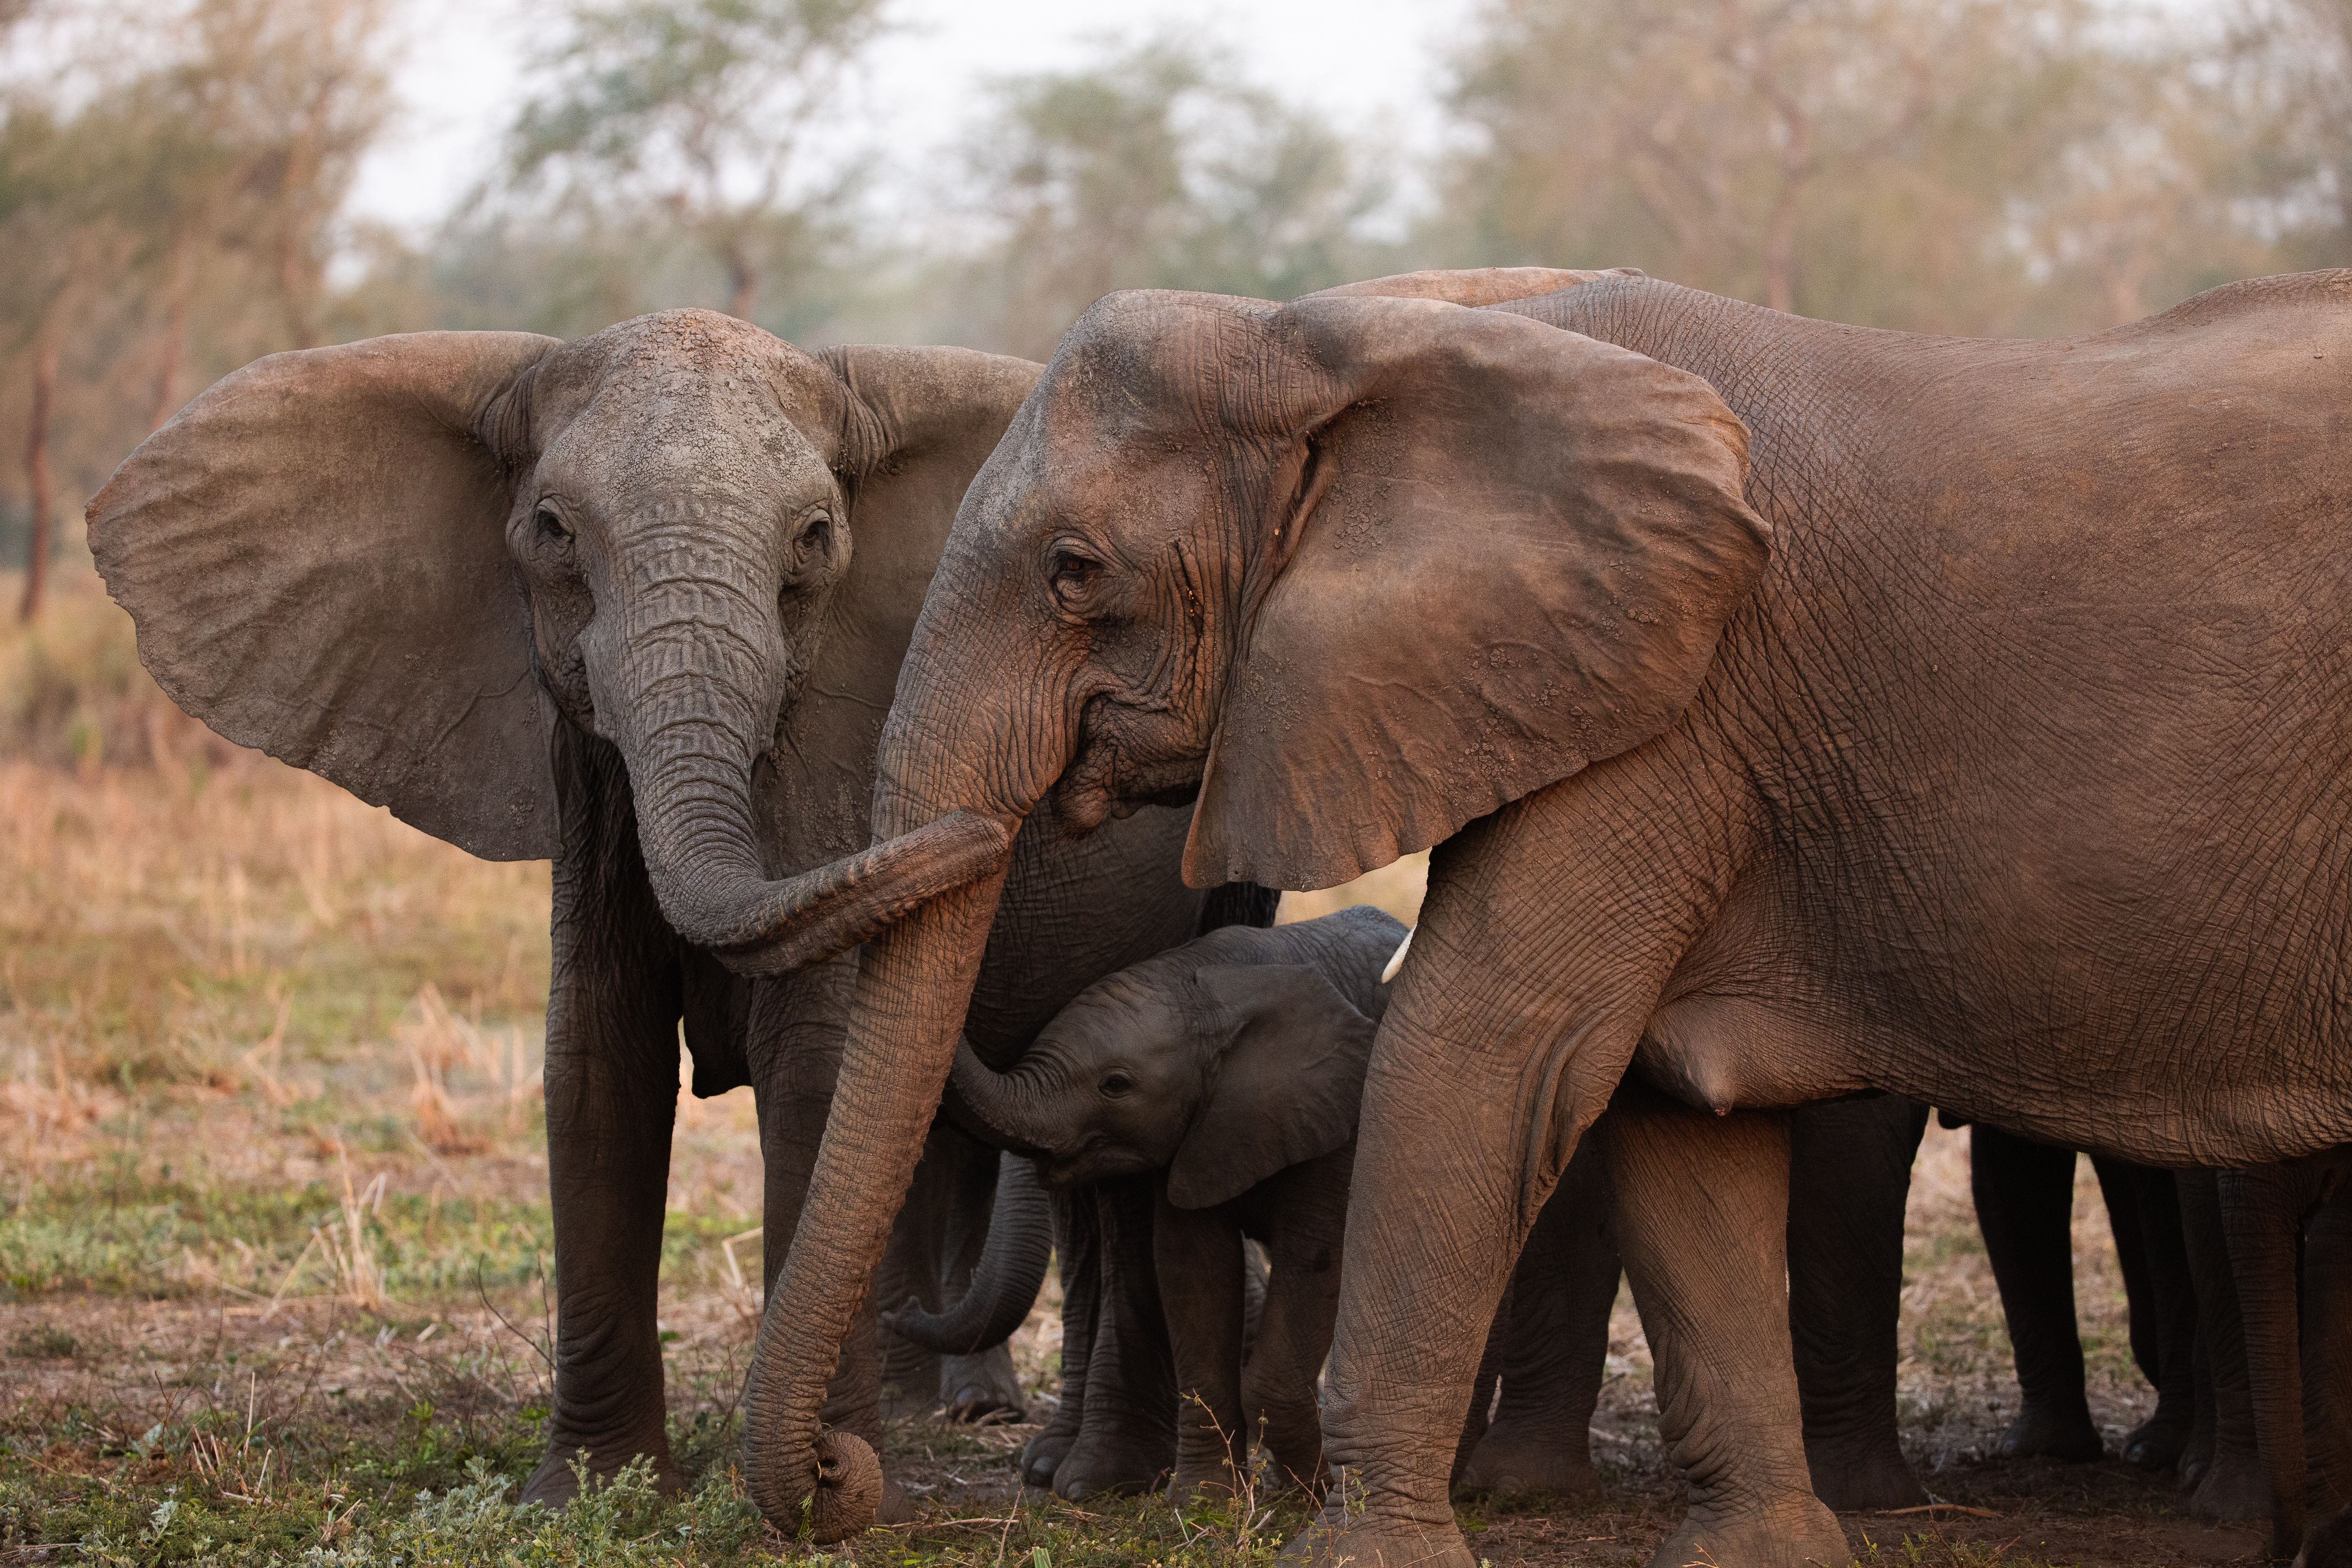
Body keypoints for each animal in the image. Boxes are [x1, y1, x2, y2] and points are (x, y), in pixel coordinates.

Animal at [81, 308, 1252, 1510]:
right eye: (553, 531)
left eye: (815, 539)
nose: (993, 825)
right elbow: (595, 1066)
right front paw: (592, 1492)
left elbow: (813, 1068)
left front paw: (830, 1482)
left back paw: (1047, 1455)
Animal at [687, 264, 2352, 1567]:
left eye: (1076, 571)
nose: (847, 1484)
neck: (1360, 336)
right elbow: (1677, 1115)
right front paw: (1759, 1554)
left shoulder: (1668, 706)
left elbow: (1487, 1048)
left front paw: (1368, 1549)